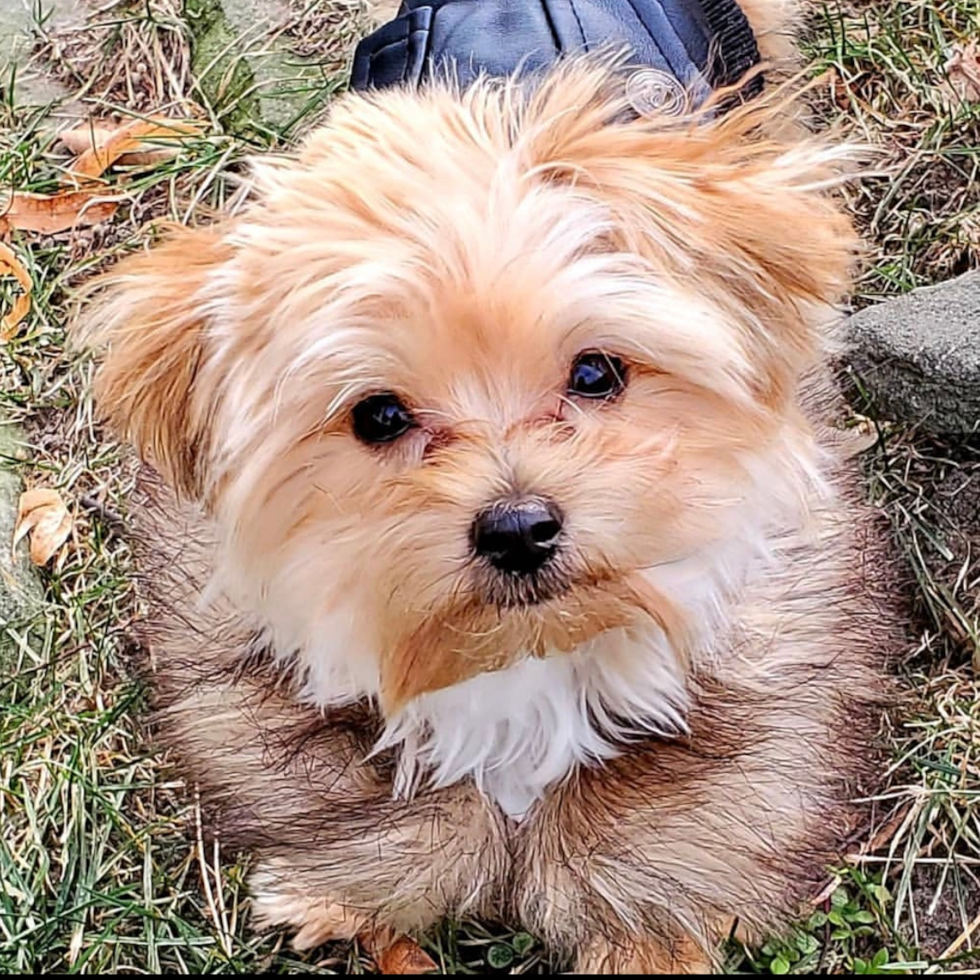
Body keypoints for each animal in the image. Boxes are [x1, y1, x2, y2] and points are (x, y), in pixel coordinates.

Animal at [72, 0, 908, 972]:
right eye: (379, 416)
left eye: (595, 372)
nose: (517, 528)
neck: (529, 662)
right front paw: (343, 891)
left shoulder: (775, 657)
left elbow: (683, 816)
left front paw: (642, 933)